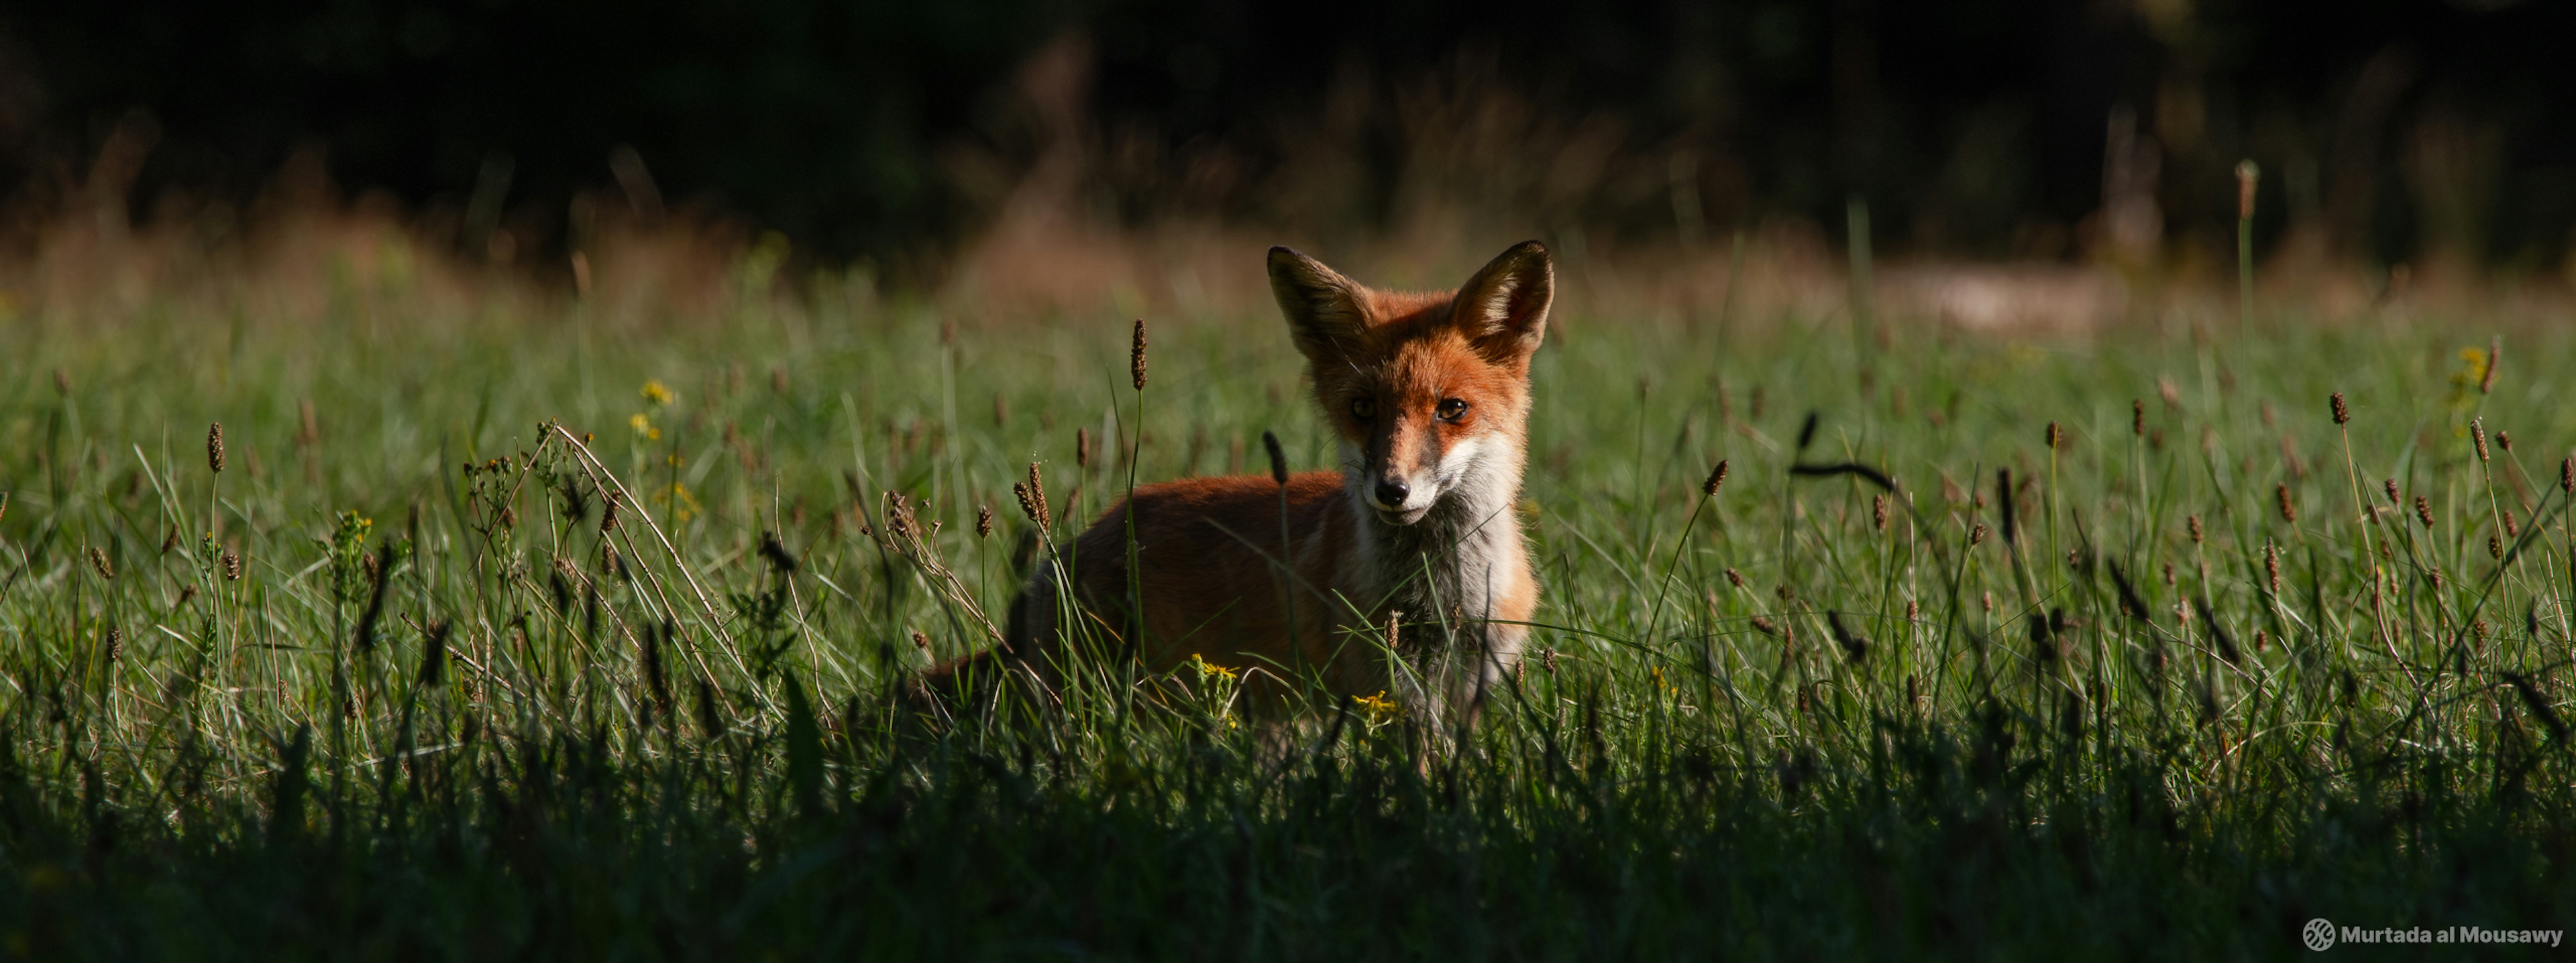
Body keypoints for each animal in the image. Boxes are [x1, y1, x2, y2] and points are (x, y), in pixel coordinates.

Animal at [927, 241, 1546, 731]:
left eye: (1453, 409)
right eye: (1363, 409)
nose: (1392, 491)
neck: (1440, 595)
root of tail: (1077, 543)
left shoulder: (1469, 685)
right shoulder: (1389, 689)